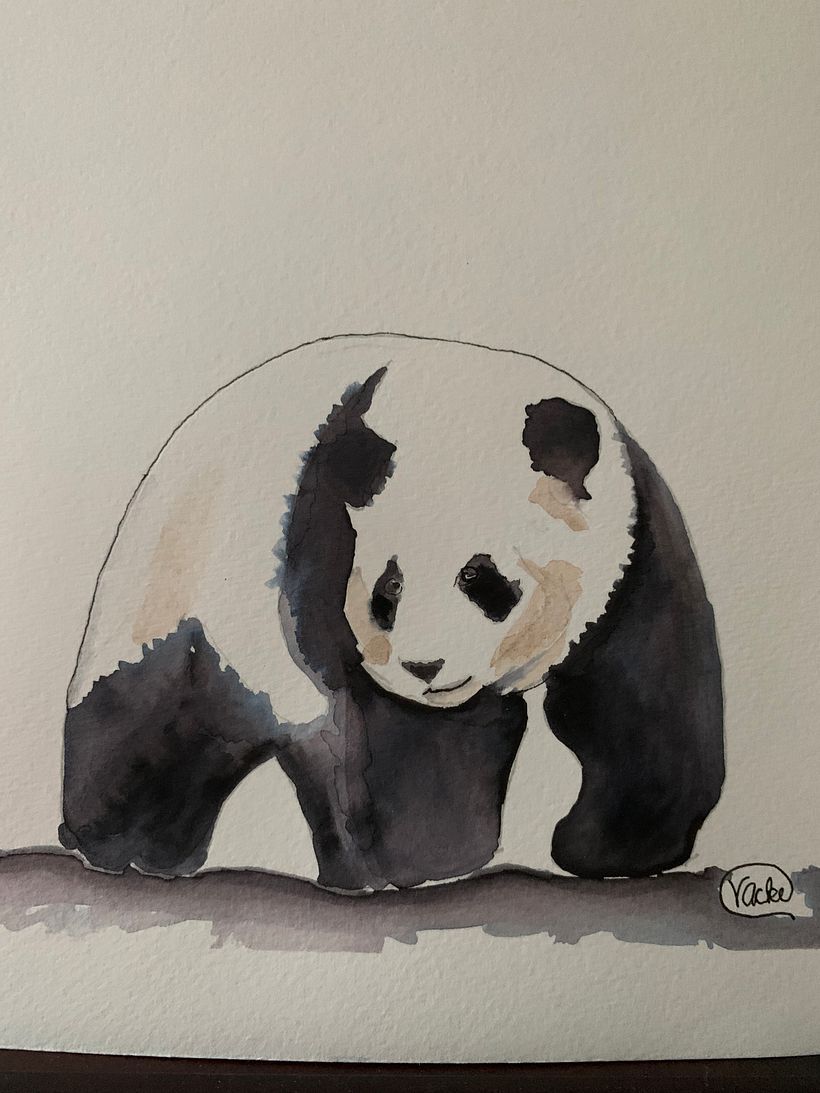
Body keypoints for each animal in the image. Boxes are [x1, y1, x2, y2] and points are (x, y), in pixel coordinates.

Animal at [60, 333, 724, 891]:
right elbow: (389, 730)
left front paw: (612, 849)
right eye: (388, 593)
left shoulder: (633, 549)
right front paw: (425, 855)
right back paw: (122, 844)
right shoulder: (320, 544)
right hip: (178, 593)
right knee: (148, 717)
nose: (424, 668)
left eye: (483, 579)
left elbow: (640, 700)